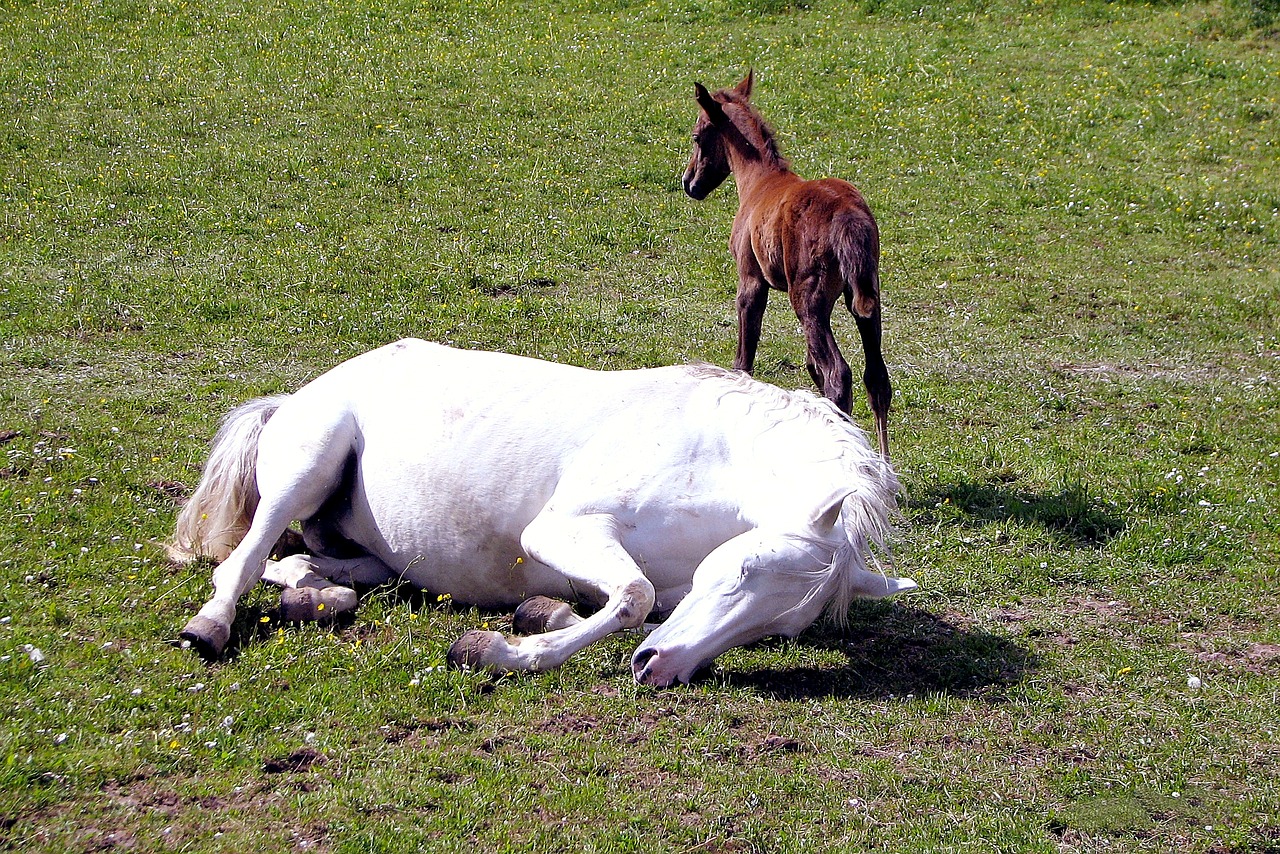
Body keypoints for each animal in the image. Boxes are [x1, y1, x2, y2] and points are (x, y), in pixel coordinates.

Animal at [172, 340, 911, 686]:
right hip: (308, 465)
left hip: (365, 550)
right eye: (739, 574)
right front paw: (497, 649)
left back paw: (315, 593)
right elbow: (633, 598)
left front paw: (538, 618)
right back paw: (209, 626)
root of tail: (297, 395)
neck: (715, 456)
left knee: (307, 564)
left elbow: (632, 605)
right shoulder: (561, 530)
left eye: (778, 631)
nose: (660, 670)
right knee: (241, 561)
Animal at [680, 73, 890, 460]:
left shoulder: (751, 280)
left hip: (808, 299)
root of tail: (847, 216)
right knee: (876, 379)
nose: (690, 184)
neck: (760, 180)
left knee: (839, 376)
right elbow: (810, 365)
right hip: (866, 298)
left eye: (698, 136)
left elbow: (744, 360)